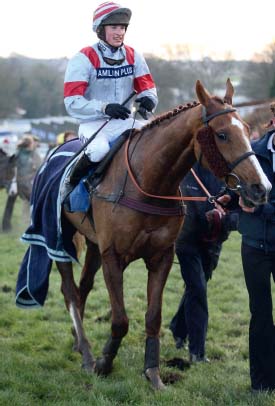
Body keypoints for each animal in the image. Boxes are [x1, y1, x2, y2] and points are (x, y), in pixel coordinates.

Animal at [47, 78, 272, 390]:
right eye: (223, 134)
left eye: (249, 130)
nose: (261, 188)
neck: (148, 183)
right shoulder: (113, 256)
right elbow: (120, 319)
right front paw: (104, 363)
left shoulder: (161, 256)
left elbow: (154, 317)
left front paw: (153, 374)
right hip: (61, 238)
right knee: (69, 291)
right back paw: (87, 353)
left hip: (92, 243)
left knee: (83, 288)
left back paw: (79, 344)